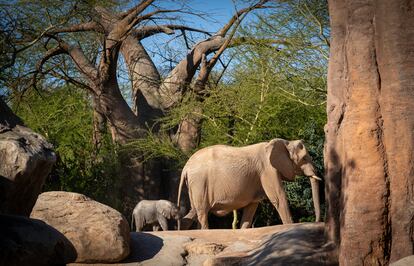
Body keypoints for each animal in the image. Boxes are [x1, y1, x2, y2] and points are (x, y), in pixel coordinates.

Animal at [176, 138, 322, 230]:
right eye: (304, 158)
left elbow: (252, 206)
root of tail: (186, 167)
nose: (316, 221)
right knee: (201, 212)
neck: (284, 142)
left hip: (196, 185)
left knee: (194, 211)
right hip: (200, 183)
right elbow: (278, 198)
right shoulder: (268, 169)